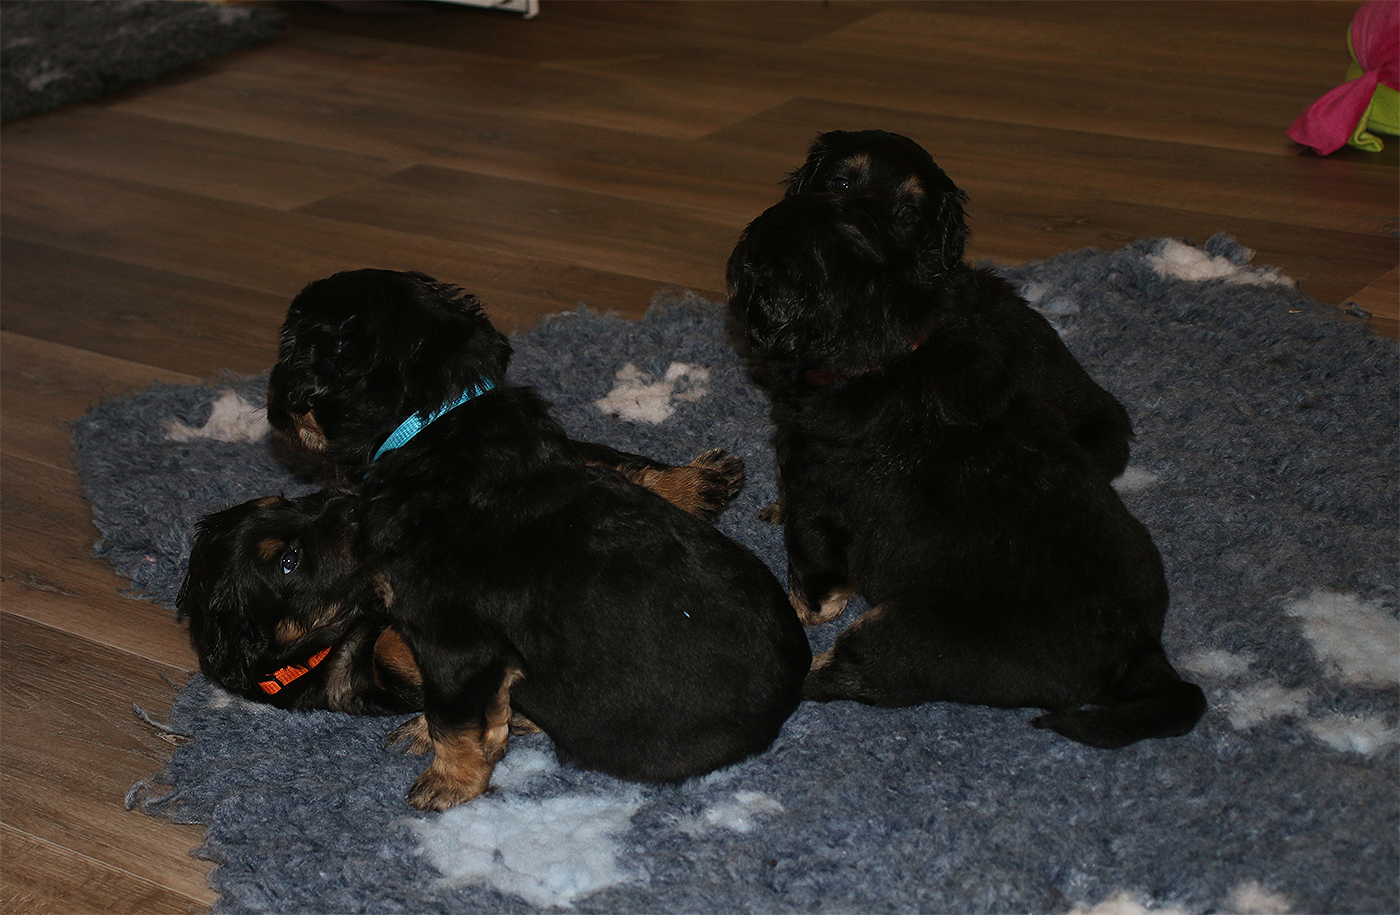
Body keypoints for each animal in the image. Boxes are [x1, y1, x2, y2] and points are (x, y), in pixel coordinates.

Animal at [180, 269, 812, 810]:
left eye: (290, 349)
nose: (270, 405)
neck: (431, 418)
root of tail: (798, 677)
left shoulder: (451, 638)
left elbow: (455, 717)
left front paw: (447, 783)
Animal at [725, 190, 1205, 749]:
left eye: (750, 258)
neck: (891, 350)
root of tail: (1140, 648)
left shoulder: (812, 493)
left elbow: (812, 585)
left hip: (919, 635)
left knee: (853, 673)